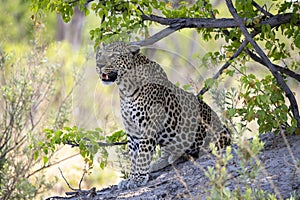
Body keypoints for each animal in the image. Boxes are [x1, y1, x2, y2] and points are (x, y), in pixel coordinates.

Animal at [95, 41, 231, 189]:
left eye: (114, 55)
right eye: (99, 54)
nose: (99, 65)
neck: (125, 88)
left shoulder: (148, 127)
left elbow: (142, 154)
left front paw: (138, 179)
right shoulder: (132, 130)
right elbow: (134, 156)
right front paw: (130, 178)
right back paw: (159, 163)